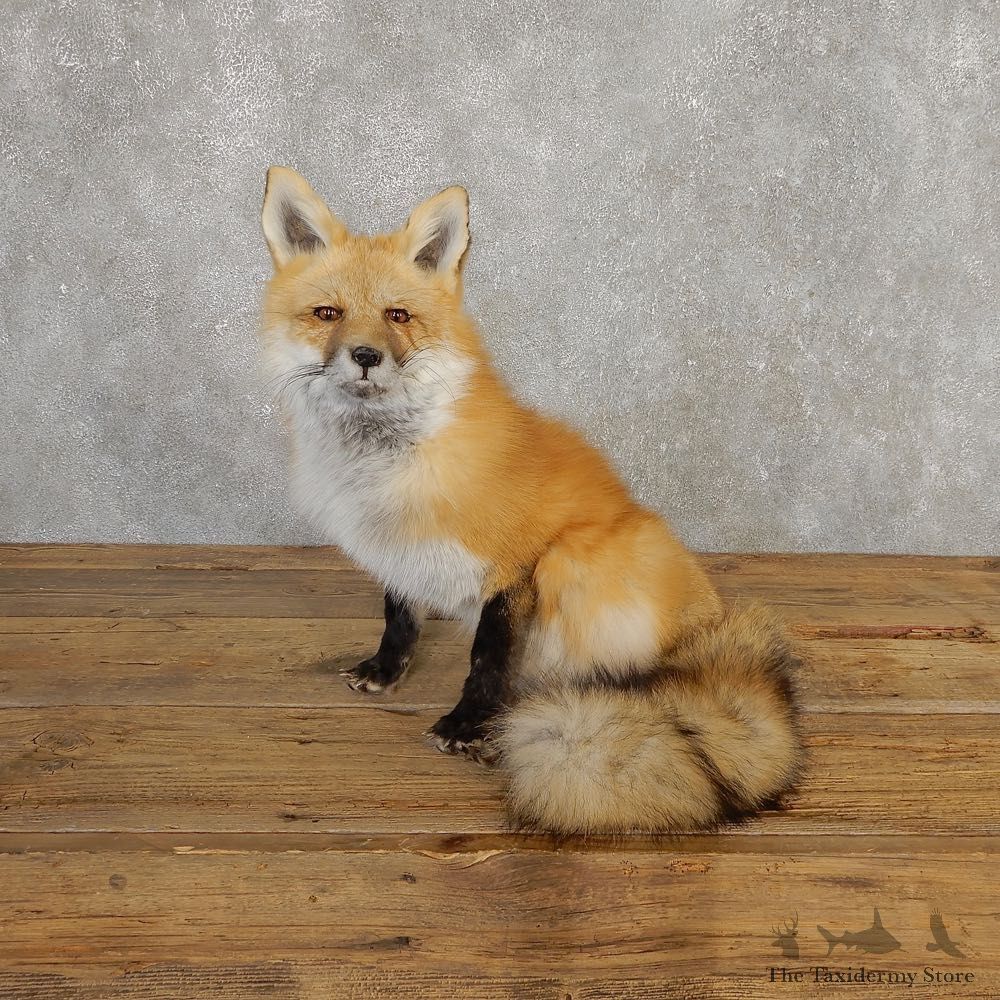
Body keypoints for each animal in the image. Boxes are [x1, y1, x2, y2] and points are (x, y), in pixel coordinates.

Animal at [258, 166, 804, 834]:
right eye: (327, 313)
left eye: (398, 315)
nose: (366, 356)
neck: (386, 462)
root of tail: (712, 626)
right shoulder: (399, 544)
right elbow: (399, 615)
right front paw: (386, 670)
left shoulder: (515, 566)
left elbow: (487, 660)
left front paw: (469, 725)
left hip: (573, 563)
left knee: (615, 677)